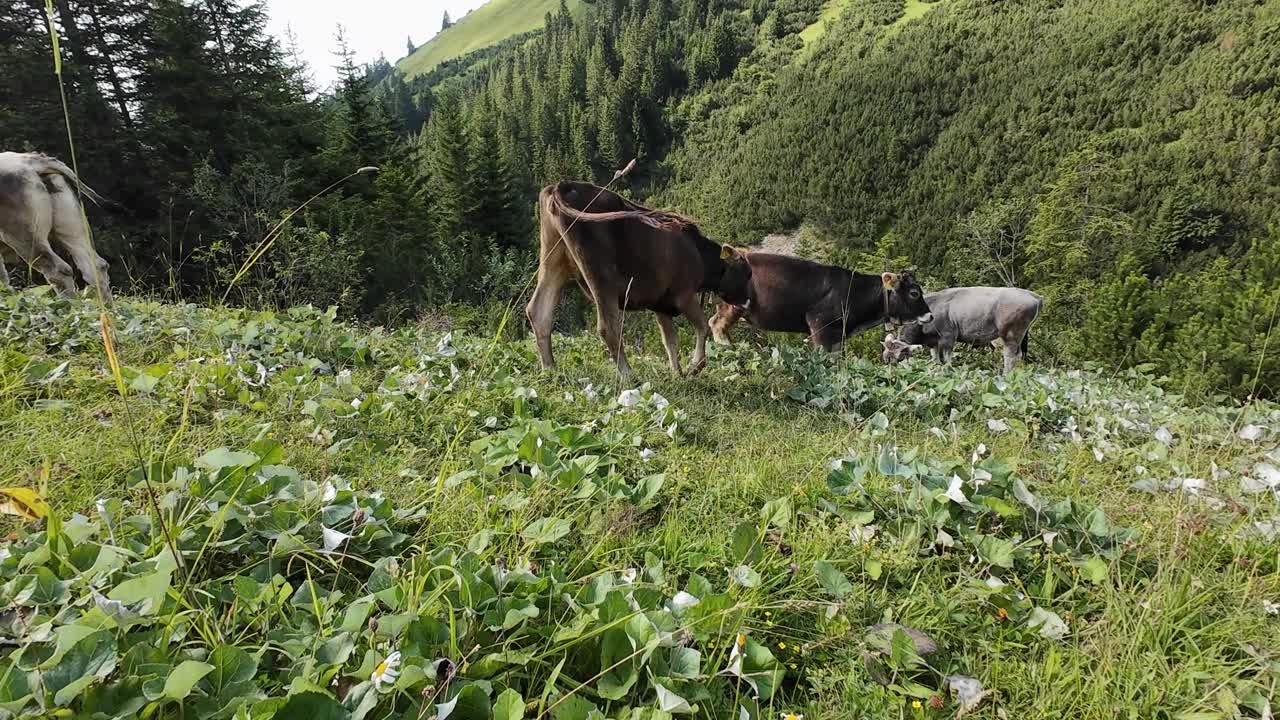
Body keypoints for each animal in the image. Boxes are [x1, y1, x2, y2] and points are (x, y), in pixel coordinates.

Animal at [527, 180, 752, 376]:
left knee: (538, 312)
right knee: (608, 327)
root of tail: (563, 185)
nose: (748, 302)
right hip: (600, 273)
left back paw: (549, 369)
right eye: (746, 273)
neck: (699, 254)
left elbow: (670, 341)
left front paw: (676, 373)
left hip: (553, 261)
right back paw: (628, 375)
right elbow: (703, 327)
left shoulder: (661, 305)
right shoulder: (684, 295)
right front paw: (695, 366)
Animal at [711, 253, 931, 351]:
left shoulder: (838, 334)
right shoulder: (820, 323)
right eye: (914, 293)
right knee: (717, 324)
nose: (930, 315)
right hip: (734, 304)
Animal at [885, 285, 1044, 376]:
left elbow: (947, 359)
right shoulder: (934, 342)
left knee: (1011, 356)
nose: (892, 375)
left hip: (1010, 335)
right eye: (886, 359)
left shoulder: (948, 337)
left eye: (899, 357)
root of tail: (1035, 296)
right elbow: (935, 358)